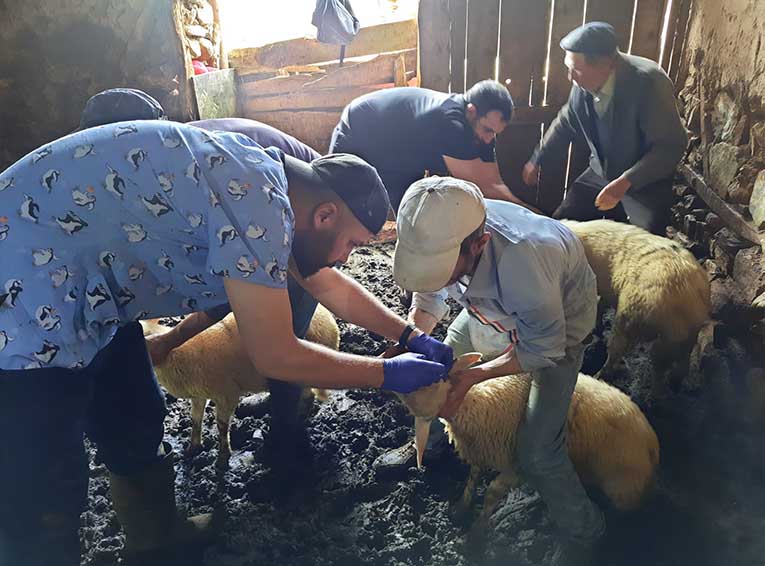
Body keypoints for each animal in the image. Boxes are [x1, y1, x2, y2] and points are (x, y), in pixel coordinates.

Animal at [141, 308, 338, 468]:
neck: (174, 355)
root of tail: (333, 326)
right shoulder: (198, 394)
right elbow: (195, 419)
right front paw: (193, 448)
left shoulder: (227, 392)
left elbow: (221, 425)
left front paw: (222, 459)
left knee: (305, 396)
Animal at [402, 356, 660, 524]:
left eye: (432, 378)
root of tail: (652, 441)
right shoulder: (481, 449)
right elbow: (472, 478)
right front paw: (460, 509)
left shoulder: (516, 467)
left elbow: (491, 492)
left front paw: (477, 532)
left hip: (622, 488)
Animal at [560, 220, 712, 384]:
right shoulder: (609, 287)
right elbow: (601, 305)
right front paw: (597, 325)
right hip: (688, 333)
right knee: (680, 361)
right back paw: (675, 381)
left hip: (630, 316)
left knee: (619, 350)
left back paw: (600, 376)